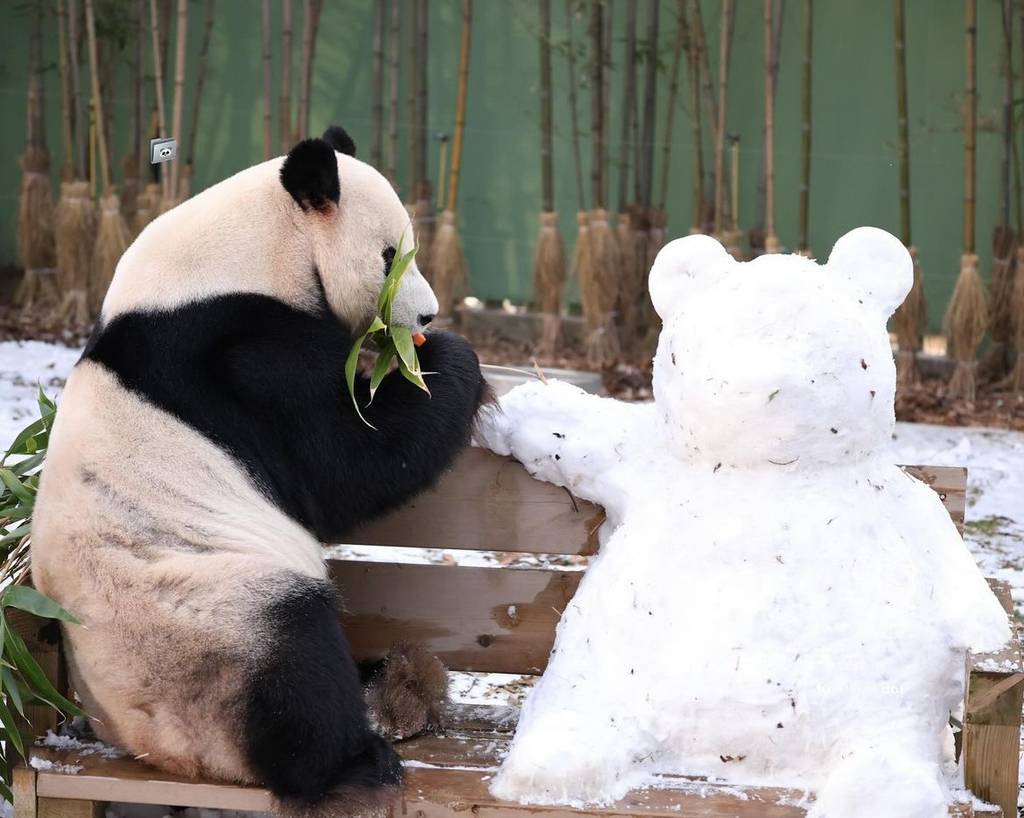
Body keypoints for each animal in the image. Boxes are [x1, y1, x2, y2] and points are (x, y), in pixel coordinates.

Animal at [32, 127, 491, 818]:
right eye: (390, 257)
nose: (427, 317)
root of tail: (148, 747)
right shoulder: (236, 355)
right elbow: (346, 459)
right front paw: (446, 361)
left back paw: (387, 679)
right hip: (202, 621)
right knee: (293, 660)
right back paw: (354, 765)